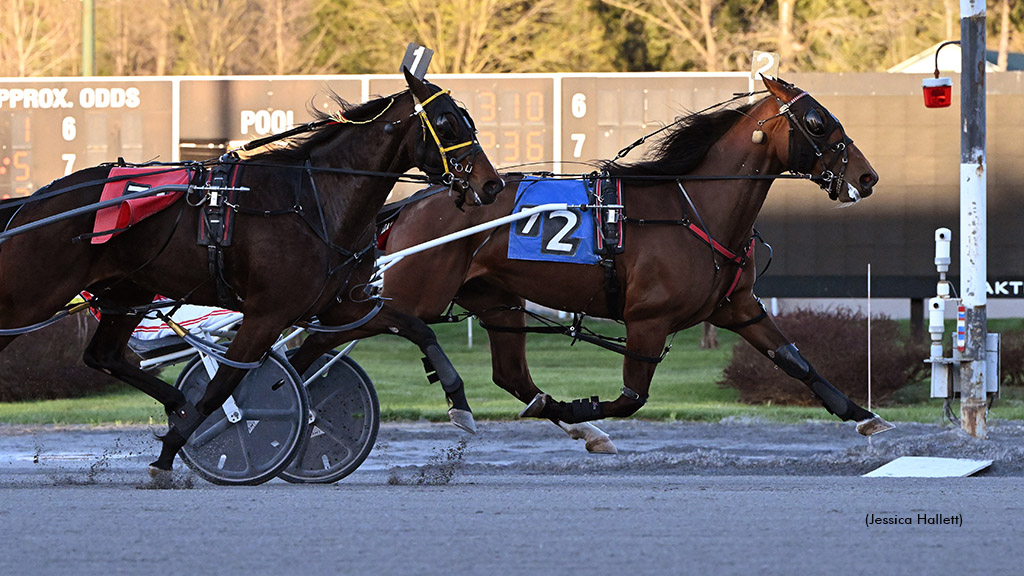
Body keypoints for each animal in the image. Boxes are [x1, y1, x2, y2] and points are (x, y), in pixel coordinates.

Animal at [0, 70, 503, 475]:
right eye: (445, 122)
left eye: (468, 118)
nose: (492, 184)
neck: (313, 200)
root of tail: (32, 202)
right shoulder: (267, 313)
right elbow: (222, 385)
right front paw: (177, 448)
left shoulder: (337, 305)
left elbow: (417, 327)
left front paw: (459, 403)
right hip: (31, 297)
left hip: (126, 293)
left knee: (102, 355)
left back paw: (174, 402)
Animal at [374, 76, 888, 450]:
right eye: (817, 121)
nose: (868, 176)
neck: (693, 209)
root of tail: (415, 202)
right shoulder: (648, 319)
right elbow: (630, 399)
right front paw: (578, 410)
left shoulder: (739, 307)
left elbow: (796, 361)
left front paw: (864, 416)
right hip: (417, 291)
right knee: (388, 322)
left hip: (497, 299)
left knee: (512, 375)